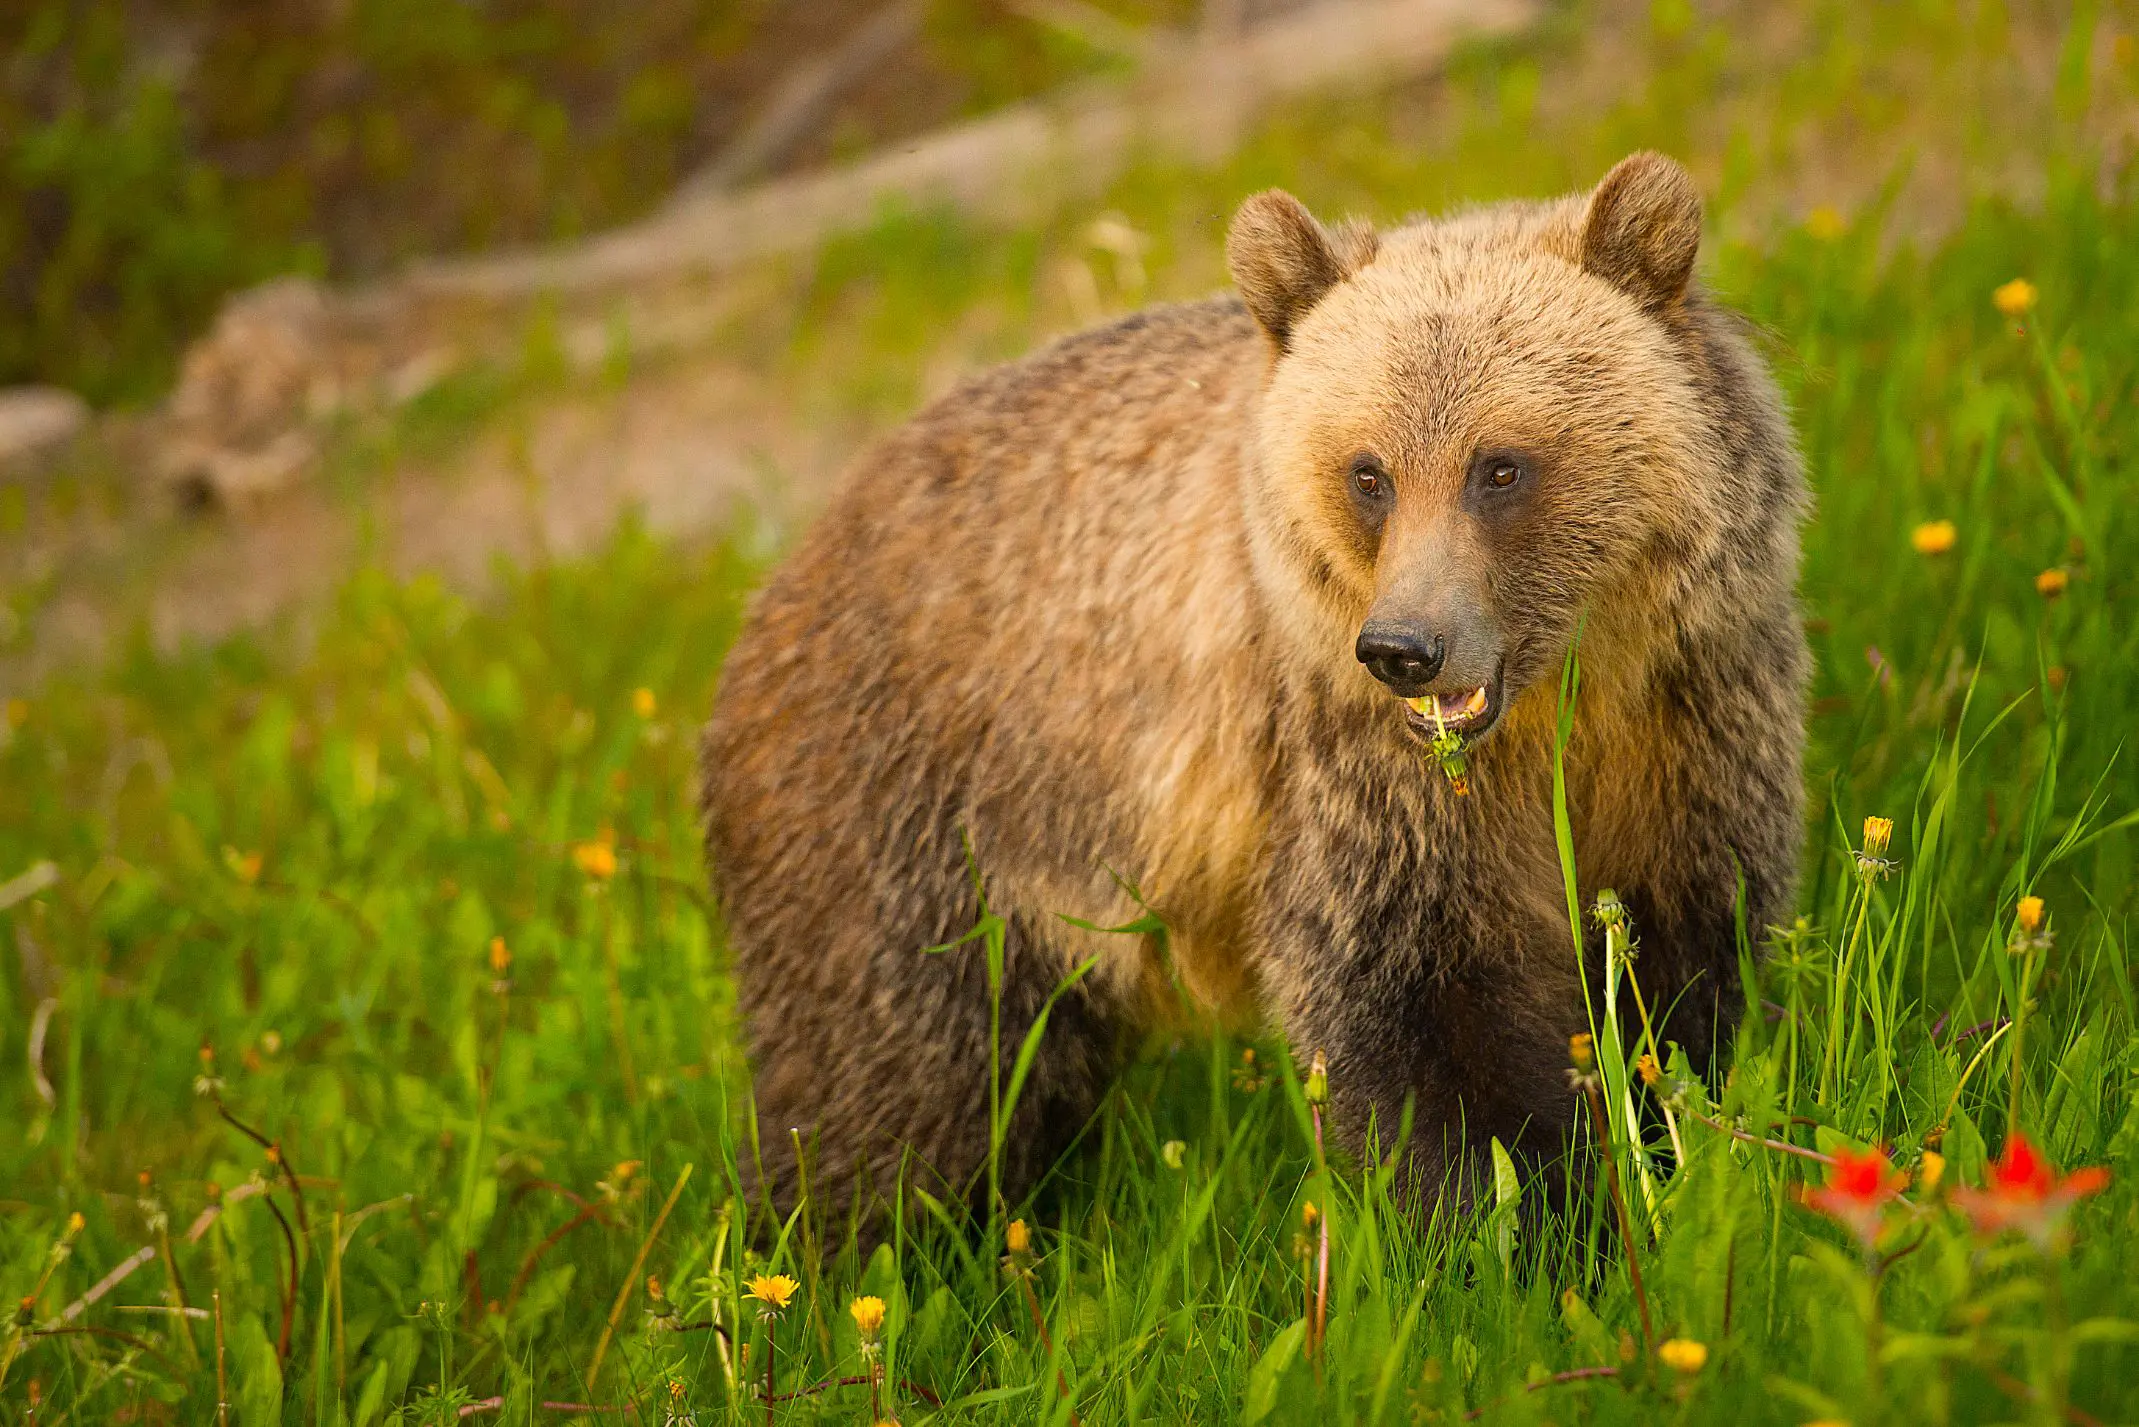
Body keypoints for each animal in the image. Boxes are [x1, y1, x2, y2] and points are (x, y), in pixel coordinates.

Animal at [699, 151, 1808, 1219]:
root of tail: (774, 584)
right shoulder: (1356, 771)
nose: (1405, 647)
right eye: (1369, 472)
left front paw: (1670, 1139)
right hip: (907, 822)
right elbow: (1419, 1004)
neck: (1562, 701)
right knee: (899, 1078)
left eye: (1500, 466)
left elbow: (1688, 957)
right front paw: (1520, 1213)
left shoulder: (1691, 713)